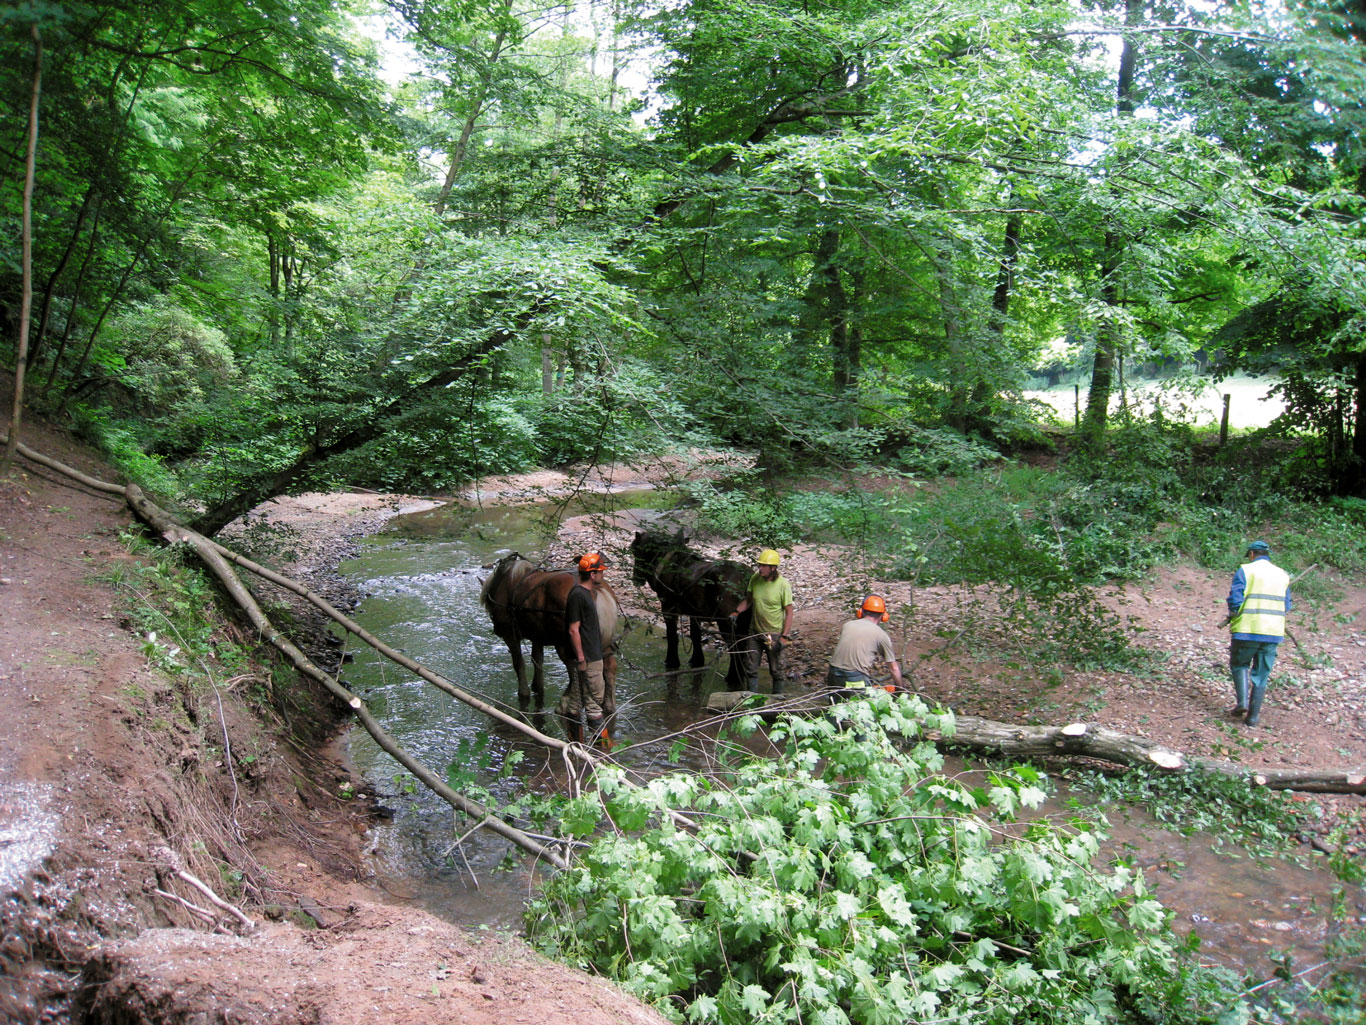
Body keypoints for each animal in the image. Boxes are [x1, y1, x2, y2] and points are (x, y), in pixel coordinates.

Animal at [478, 557, 622, 716]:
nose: (496, 630)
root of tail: (597, 589)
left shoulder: (510, 635)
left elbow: (519, 663)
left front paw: (524, 692)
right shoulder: (537, 636)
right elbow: (537, 660)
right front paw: (537, 687)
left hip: (565, 643)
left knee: (576, 670)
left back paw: (565, 704)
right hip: (600, 640)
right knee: (608, 666)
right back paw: (608, 705)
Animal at [628, 530, 748, 691]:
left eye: (635, 551)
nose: (636, 579)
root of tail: (746, 578)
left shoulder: (668, 609)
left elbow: (672, 636)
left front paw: (671, 661)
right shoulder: (694, 613)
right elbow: (695, 635)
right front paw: (696, 661)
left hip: (726, 623)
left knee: (736, 646)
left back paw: (732, 677)